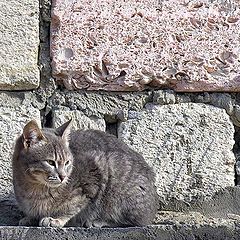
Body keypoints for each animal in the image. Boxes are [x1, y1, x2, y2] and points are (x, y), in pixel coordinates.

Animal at [11, 119, 158, 228]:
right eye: (50, 162)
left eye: (67, 162)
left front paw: (56, 219)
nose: (63, 176)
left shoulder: (93, 178)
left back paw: (98, 221)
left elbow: (72, 207)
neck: (34, 188)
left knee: (135, 221)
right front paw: (30, 217)